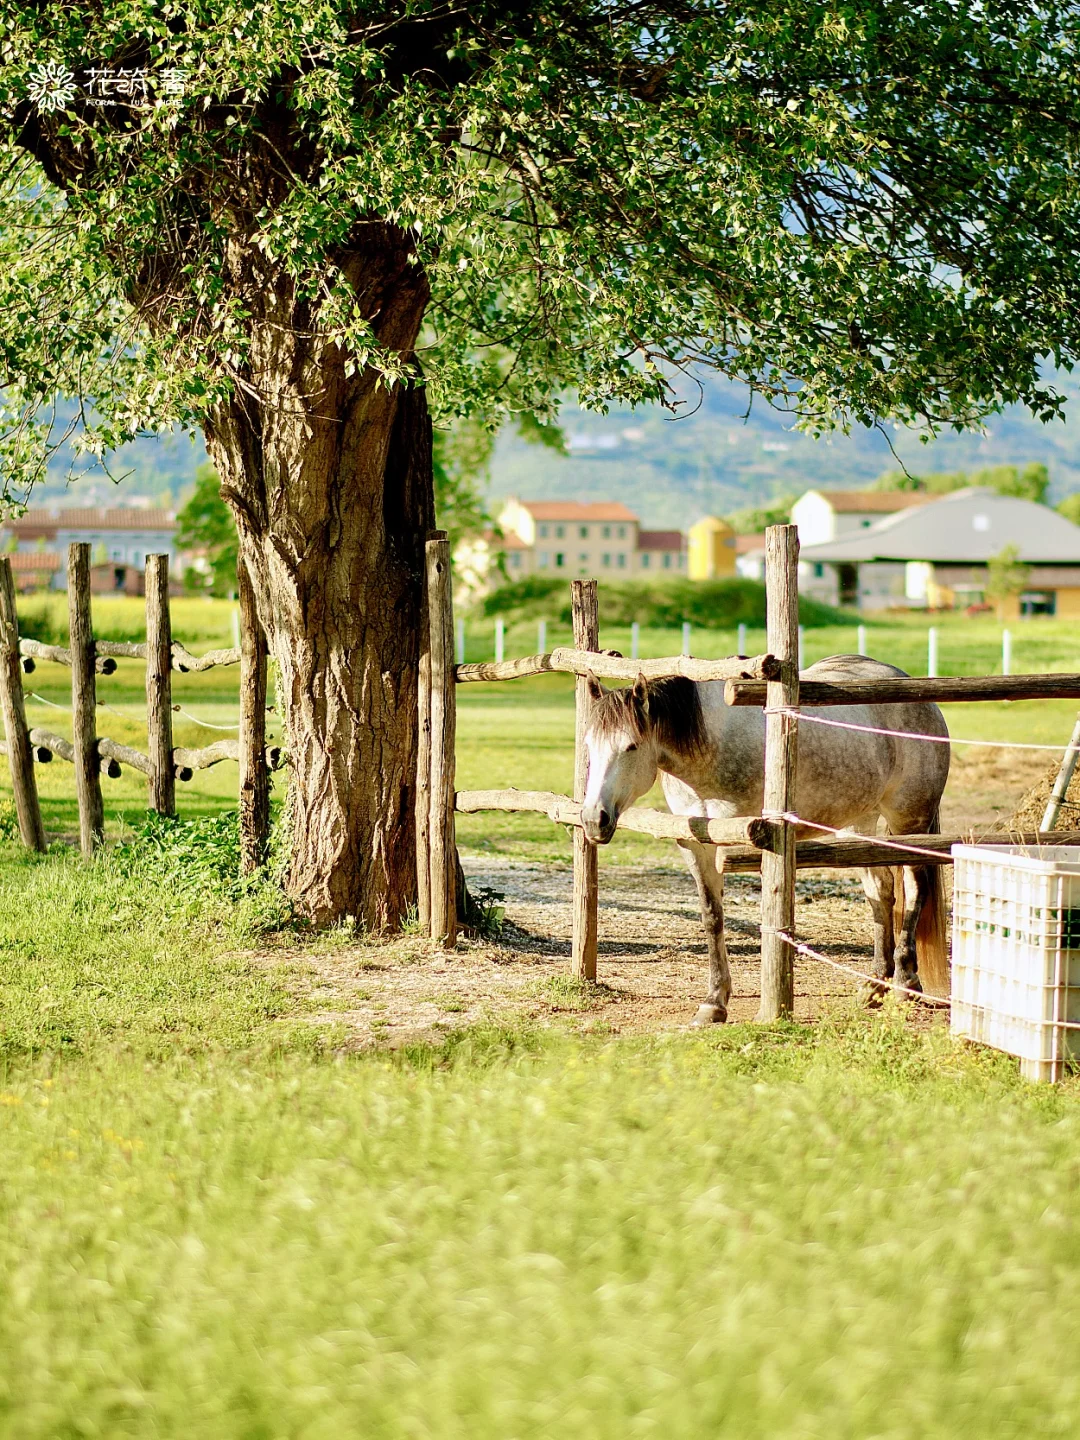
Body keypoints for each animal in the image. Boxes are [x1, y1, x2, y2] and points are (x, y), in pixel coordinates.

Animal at [578, 653, 950, 1025]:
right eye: (588, 746)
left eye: (631, 746)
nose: (594, 819)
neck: (710, 747)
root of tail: (910, 686)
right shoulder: (696, 846)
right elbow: (712, 917)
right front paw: (714, 1002)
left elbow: (767, 919)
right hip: (858, 823)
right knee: (881, 891)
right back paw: (873, 986)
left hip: (909, 819)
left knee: (914, 888)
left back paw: (905, 982)